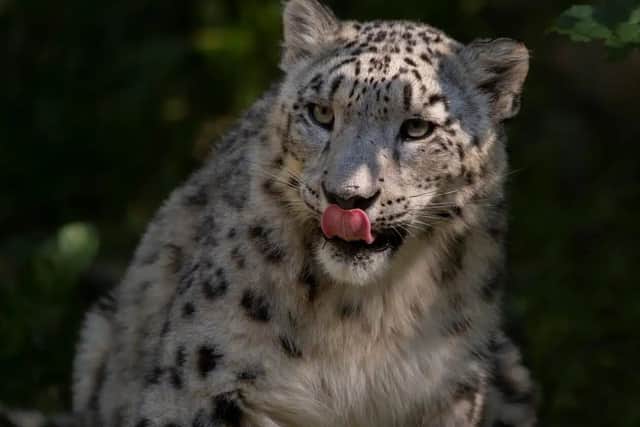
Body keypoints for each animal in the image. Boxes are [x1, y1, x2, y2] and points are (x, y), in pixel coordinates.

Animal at [2, 1, 538, 426]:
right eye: (321, 113)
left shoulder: (446, 391)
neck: (365, 317)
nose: (347, 197)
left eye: (417, 128)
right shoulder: (207, 378)